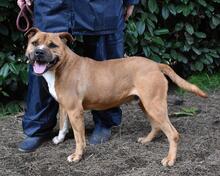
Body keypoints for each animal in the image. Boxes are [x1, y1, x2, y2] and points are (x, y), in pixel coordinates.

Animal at [24, 27, 207, 166]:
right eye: (34, 43)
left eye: (52, 45)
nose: (39, 52)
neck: (62, 65)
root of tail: (156, 64)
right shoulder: (64, 106)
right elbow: (63, 124)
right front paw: (60, 139)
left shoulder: (75, 110)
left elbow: (79, 137)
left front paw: (77, 155)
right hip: (146, 105)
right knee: (156, 126)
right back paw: (146, 140)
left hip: (154, 106)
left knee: (173, 134)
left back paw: (170, 159)